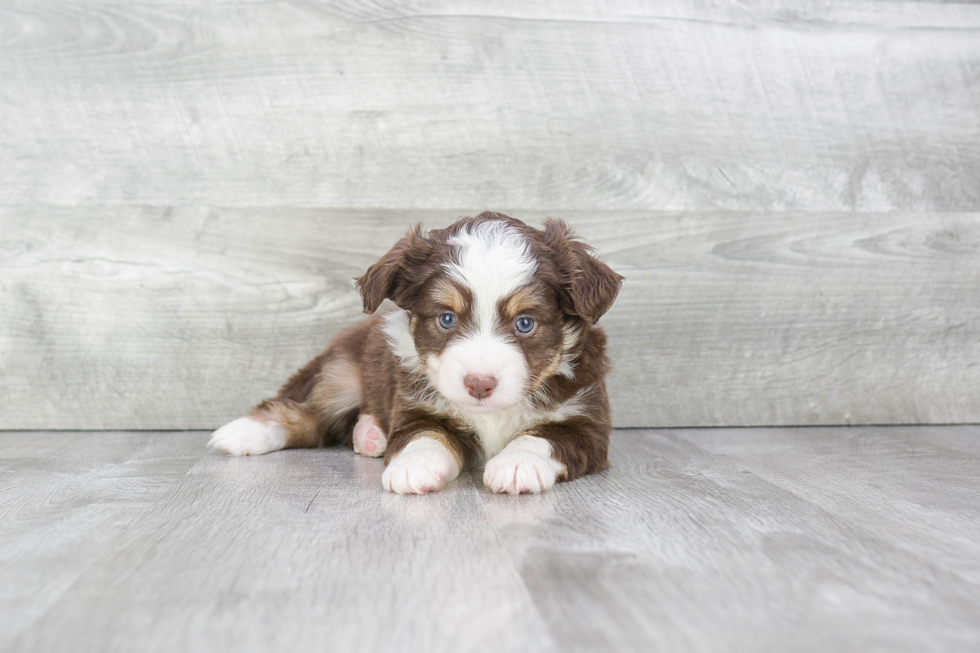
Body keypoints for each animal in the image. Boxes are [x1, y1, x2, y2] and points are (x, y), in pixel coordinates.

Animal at [208, 211, 624, 492]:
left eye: (525, 323)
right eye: (446, 319)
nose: (479, 384)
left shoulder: (588, 424)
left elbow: (544, 436)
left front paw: (517, 465)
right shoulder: (416, 409)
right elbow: (424, 435)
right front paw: (414, 466)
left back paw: (369, 435)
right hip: (341, 373)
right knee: (304, 412)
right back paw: (242, 433)